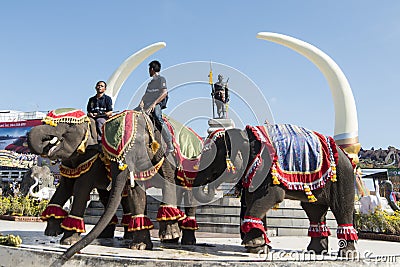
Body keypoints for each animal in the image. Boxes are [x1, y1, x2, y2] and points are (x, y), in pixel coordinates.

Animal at [192, 125, 358, 258]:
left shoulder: (266, 167)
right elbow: (252, 200)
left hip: (343, 177)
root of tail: (347, 156)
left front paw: (254, 245)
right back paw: (315, 251)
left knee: (342, 208)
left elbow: (271, 197)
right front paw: (260, 248)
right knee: (314, 210)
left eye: (212, 157)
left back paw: (346, 255)